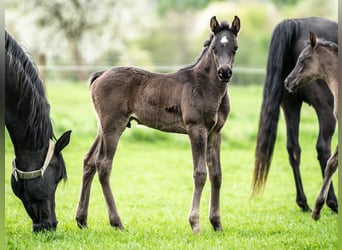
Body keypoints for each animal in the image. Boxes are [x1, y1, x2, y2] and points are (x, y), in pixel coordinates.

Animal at [252, 17, 338, 213]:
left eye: (302, 61)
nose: (289, 81)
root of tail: (295, 23)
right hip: (325, 110)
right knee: (323, 148)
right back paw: (331, 202)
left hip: (290, 105)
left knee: (293, 149)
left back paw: (303, 202)